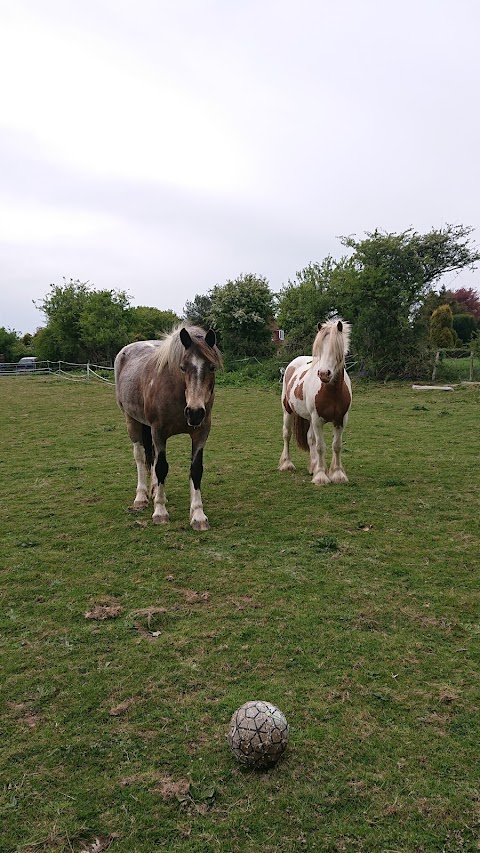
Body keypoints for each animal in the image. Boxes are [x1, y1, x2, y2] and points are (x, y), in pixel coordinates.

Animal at [115, 324, 222, 528]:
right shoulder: (158, 432)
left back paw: (154, 491)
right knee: (140, 457)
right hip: (131, 421)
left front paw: (198, 515)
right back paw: (141, 497)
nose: (195, 412)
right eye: (183, 367)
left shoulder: (201, 433)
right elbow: (161, 467)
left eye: (212, 367)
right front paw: (160, 512)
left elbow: (195, 470)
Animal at [280, 318, 350, 482]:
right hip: (288, 411)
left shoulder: (341, 420)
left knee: (310, 438)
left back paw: (313, 466)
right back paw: (287, 464)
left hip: (310, 418)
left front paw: (337, 474)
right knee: (287, 434)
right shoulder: (318, 420)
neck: (332, 392)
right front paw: (321, 476)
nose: (324, 373)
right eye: (320, 349)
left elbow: (336, 445)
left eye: (336, 349)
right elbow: (320, 446)